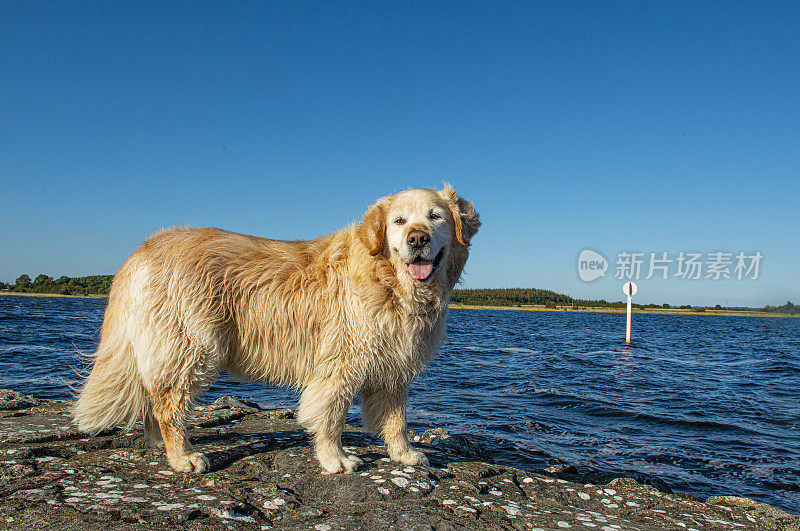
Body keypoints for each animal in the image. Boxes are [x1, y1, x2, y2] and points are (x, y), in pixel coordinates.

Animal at [72, 186, 478, 474]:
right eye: (398, 221)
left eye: (435, 216)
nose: (417, 239)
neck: (392, 282)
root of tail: (144, 246)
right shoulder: (340, 364)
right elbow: (330, 416)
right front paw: (336, 458)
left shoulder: (394, 366)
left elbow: (395, 420)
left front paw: (404, 454)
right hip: (194, 347)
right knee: (167, 403)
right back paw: (183, 456)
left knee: (154, 399)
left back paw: (161, 446)